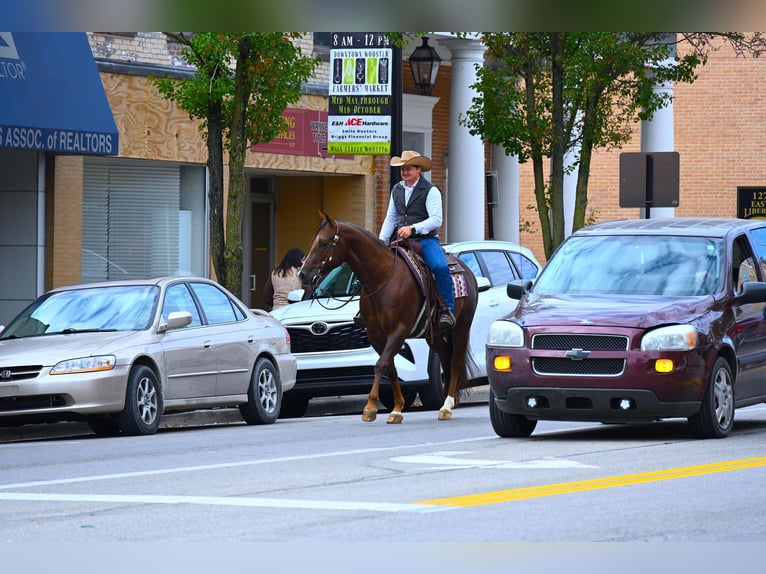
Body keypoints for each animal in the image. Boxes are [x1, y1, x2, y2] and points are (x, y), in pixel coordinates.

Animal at [300, 214, 480, 426]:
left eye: (324, 243)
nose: (302, 274)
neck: (382, 278)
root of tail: (467, 270)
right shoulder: (376, 335)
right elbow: (389, 367)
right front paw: (397, 408)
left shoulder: (398, 331)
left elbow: (380, 365)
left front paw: (370, 407)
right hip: (433, 335)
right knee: (445, 358)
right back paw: (447, 402)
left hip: (462, 327)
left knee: (455, 361)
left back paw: (447, 405)